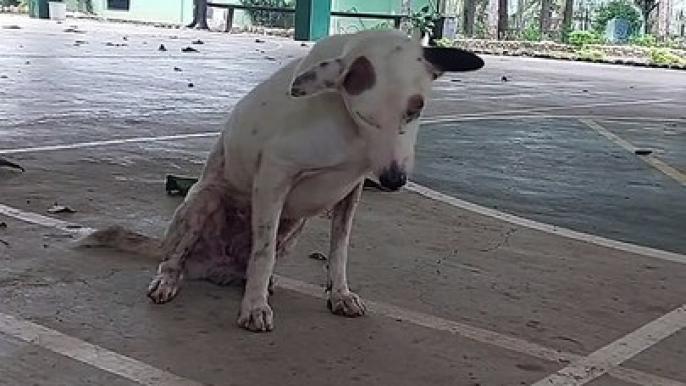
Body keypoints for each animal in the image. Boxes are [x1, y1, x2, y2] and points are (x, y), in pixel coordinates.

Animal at [78, 29, 486, 332]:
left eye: (415, 110)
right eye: (365, 116)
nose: (394, 180)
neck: (347, 131)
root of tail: (215, 268)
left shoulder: (351, 191)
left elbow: (339, 251)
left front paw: (339, 294)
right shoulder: (274, 177)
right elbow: (262, 254)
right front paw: (254, 308)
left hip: (294, 226)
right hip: (204, 199)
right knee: (174, 259)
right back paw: (170, 281)